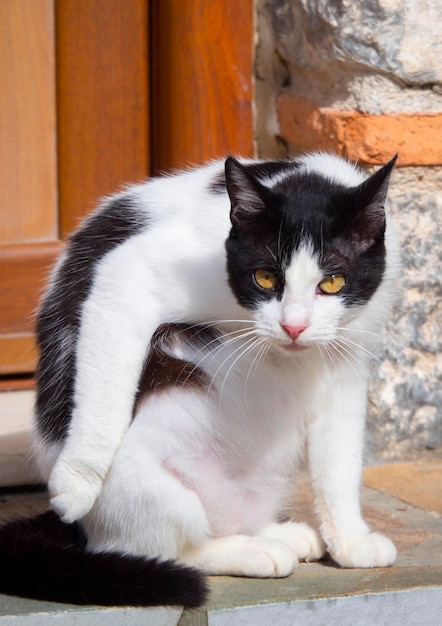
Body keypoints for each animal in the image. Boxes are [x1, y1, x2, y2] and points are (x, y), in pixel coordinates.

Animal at [0, 151, 400, 604]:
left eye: (332, 281)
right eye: (265, 277)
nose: (294, 326)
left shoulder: (348, 358)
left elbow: (340, 463)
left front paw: (351, 540)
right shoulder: (130, 274)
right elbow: (105, 384)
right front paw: (76, 481)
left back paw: (278, 534)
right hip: (148, 474)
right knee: (162, 547)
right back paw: (252, 551)